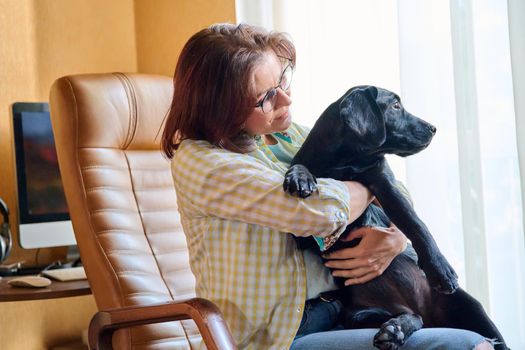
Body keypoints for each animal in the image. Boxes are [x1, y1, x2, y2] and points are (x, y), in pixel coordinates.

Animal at [282, 85, 508, 350]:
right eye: (395, 106)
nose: (433, 128)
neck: (347, 160)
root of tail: (431, 315)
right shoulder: (302, 234)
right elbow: (302, 167)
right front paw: (299, 176)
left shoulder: (384, 183)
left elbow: (416, 224)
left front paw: (440, 269)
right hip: (356, 314)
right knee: (412, 316)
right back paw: (394, 330)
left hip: (473, 308)